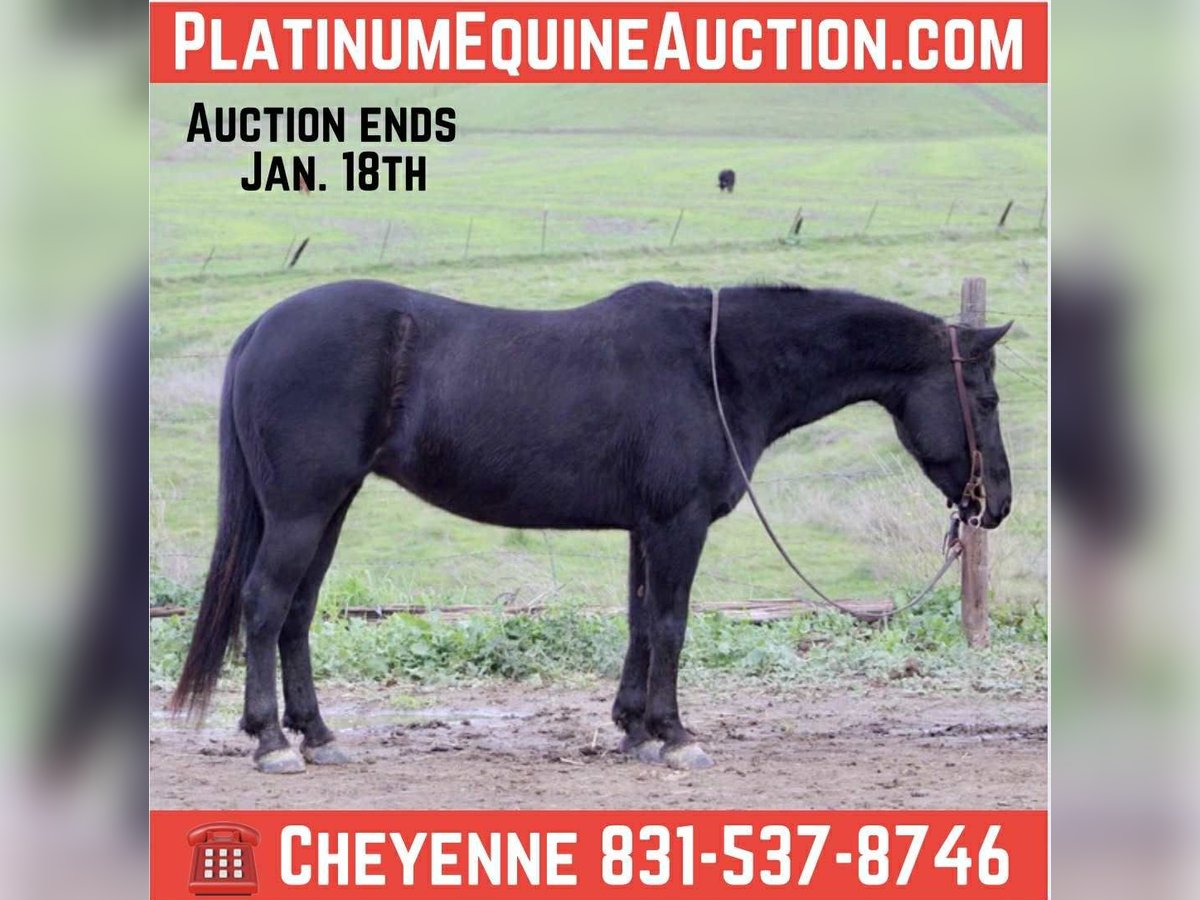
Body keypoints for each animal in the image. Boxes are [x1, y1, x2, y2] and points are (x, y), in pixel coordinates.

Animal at [169, 280, 1013, 773]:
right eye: (988, 397)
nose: (996, 504)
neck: (716, 364)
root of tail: (261, 328)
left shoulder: (647, 527)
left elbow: (641, 623)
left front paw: (635, 729)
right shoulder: (678, 525)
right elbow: (671, 623)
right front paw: (676, 737)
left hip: (328, 509)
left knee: (296, 614)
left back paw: (317, 737)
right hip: (303, 509)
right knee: (265, 605)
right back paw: (272, 742)